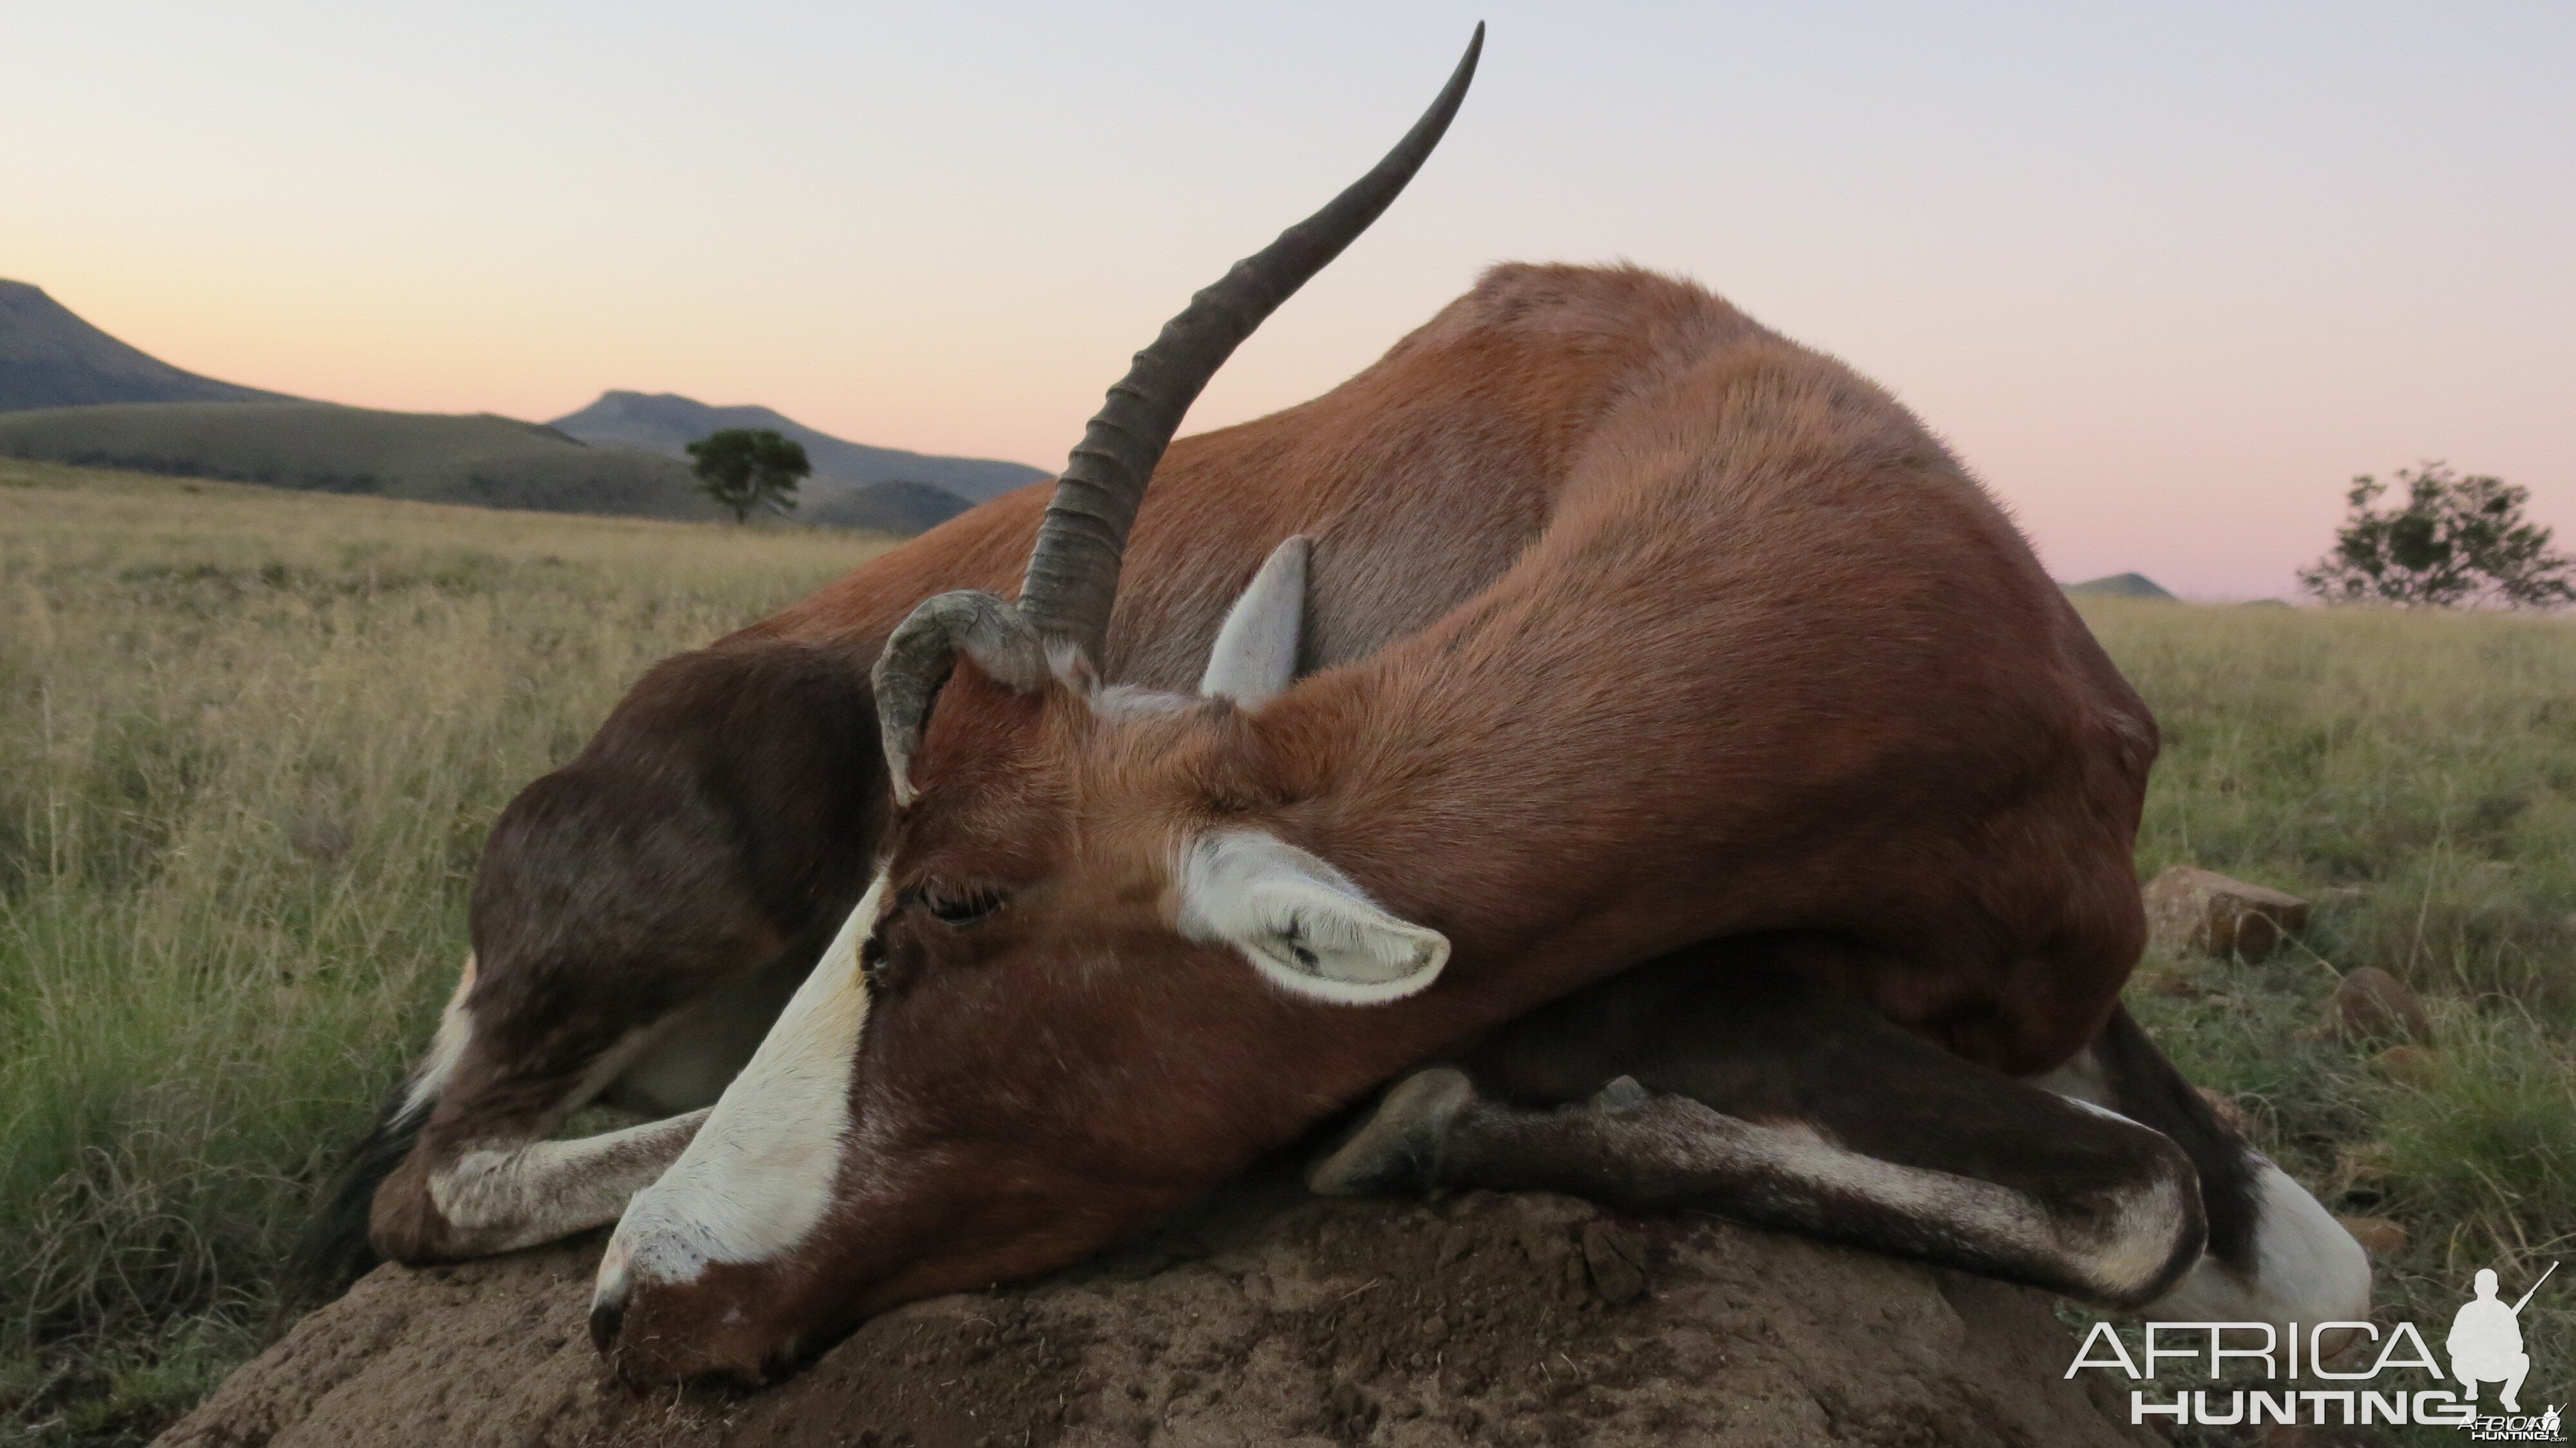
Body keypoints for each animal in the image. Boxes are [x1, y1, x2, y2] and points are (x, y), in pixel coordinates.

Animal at [585, 33, 2370, 1381]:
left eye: (953, 904)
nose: (630, 1299)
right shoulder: (1650, 993)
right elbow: (2149, 1205)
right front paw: (1415, 1123)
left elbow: (2282, 1253)